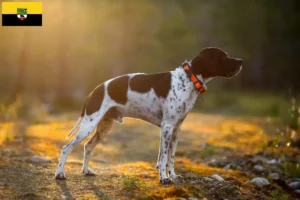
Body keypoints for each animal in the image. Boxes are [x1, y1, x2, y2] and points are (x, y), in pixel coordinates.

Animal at [55, 47, 243, 184]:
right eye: (223, 57)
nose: (241, 61)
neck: (188, 80)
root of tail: (95, 90)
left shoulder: (176, 129)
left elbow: (171, 157)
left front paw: (172, 176)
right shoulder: (167, 127)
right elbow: (163, 156)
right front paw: (164, 178)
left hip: (103, 127)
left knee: (88, 147)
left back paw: (86, 171)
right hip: (88, 125)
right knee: (66, 148)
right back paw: (60, 174)